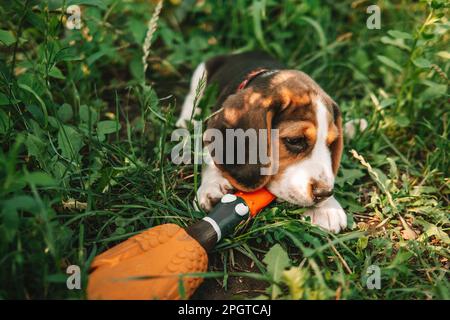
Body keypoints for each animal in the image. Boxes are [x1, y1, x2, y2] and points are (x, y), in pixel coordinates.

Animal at [178, 52, 346, 232]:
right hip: (202, 71)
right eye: (295, 140)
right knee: (192, 98)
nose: (324, 193)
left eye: (331, 144)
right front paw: (212, 186)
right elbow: (209, 158)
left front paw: (327, 208)